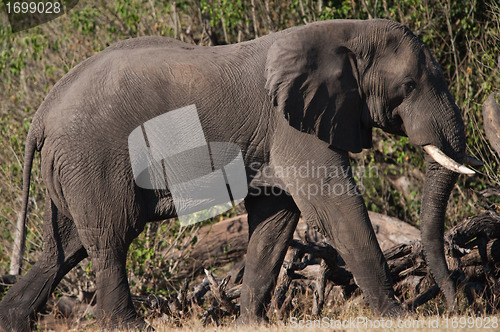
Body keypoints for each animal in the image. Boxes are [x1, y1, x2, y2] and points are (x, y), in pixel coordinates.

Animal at [0, 19, 476, 330]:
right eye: (408, 87)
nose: (456, 306)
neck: (343, 34)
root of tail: (42, 113)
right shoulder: (292, 125)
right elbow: (335, 207)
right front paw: (396, 315)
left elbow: (276, 220)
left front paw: (252, 324)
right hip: (94, 160)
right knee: (111, 238)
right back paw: (129, 327)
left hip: (71, 168)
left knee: (64, 250)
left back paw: (13, 320)